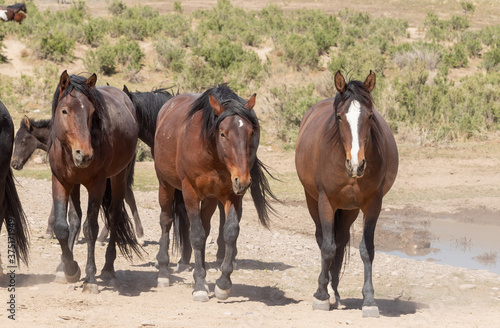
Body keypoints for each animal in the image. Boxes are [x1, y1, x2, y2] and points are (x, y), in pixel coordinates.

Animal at [49, 71, 141, 292]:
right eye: (64, 111)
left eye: (92, 113)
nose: (84, 155)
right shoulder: (61, 181)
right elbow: (62, 226)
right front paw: (69, 268)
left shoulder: (96, 185)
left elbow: (90, 228)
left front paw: (90, 277)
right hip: (75, 185)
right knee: (75, 219)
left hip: (118, 178)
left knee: (114, 217)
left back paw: (108, 269)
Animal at [153, 83, 276, 302]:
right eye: (223, 134)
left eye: (251, 132)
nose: (243, 180)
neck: (213, 155)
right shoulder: (190, 193)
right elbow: (196, 235)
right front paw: (200, 285)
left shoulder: (231, 195)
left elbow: (230, 232)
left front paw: (223, 284)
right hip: (165, 185)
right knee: (166, 221)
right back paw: (164, 272)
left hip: (210, 198)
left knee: (206, 226)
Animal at [294, 70, 396, 316]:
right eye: (339, 117)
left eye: (370, 116)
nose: (357, 165)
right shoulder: (326, 202)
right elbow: (327, 247)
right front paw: (320, 296)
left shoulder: (373, 204)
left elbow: (367, 250)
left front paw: (369, 300)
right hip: (312, 200)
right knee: (324, 240)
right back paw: (327, 291)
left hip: (350, 210)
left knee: (340, 241)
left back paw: (336, 292)